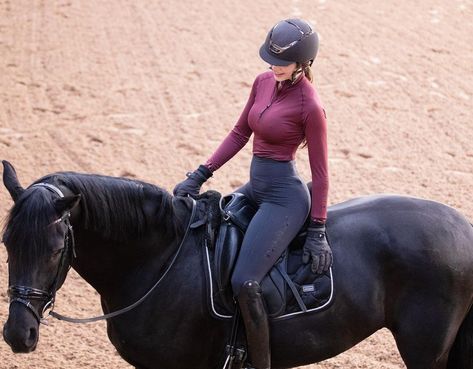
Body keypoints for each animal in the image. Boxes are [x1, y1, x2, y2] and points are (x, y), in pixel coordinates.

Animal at [2, 159, 472, 368]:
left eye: (54, 248)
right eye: (7, 243)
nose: (17, 335)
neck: (158, 263)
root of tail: (463, 228)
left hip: (426, 348)